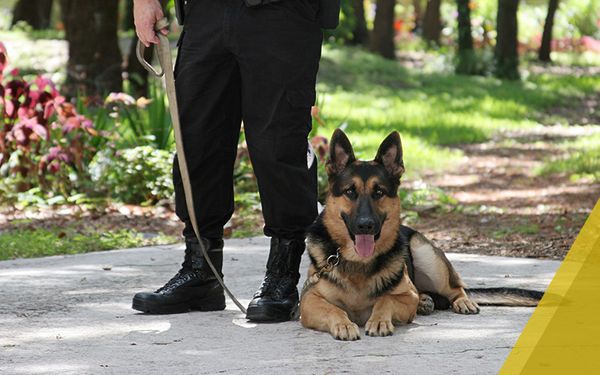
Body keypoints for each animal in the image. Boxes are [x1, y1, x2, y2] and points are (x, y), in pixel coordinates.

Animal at [300, 131, 540, 342]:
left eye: (379, 192)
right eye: (350, 191)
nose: (365, 225)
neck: (359, 262)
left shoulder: (407, 297)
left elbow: (385, 300)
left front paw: (379, 321)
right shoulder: (309, 301)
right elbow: (334, 310)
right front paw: (344, 325)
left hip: (425, 252)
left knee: (455, 287)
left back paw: (460, 301)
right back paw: (426, 301)